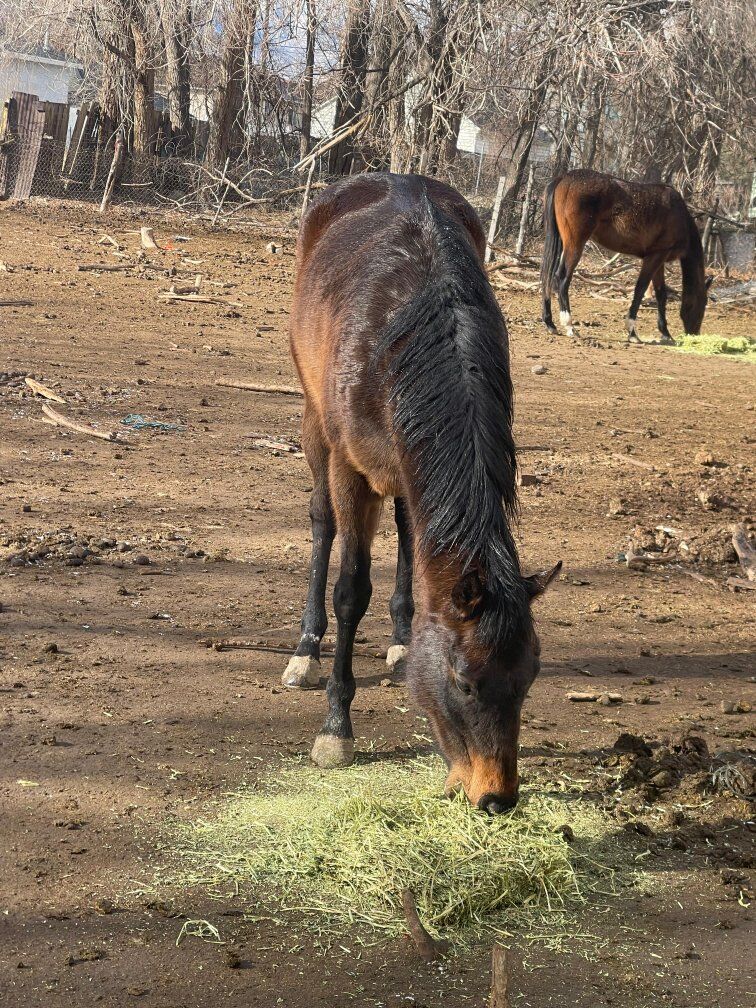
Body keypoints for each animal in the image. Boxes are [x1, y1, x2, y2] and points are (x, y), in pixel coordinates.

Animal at [282, 172, 560, 813]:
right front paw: (336, 729)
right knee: (321, 522)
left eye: (529, 677)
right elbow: (351, 589)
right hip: (314, 420)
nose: (496, 798)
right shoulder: (350, 467)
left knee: (412, 533)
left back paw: (403, 637)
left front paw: (407, 641)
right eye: (465, 680)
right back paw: (306, 650)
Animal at [541, 169, 711, 344]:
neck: (679, 215)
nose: (694, 333)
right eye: (703, 302)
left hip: (563, 243)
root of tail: (564, 177)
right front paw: (632, 332)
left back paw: (550, 323)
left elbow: (660, 294)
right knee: (561, 278)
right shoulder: (654, 257)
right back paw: (569, 326)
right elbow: (640, 289)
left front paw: (665, 333)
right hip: (575, 244)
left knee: (548, 277)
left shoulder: (659, 259)